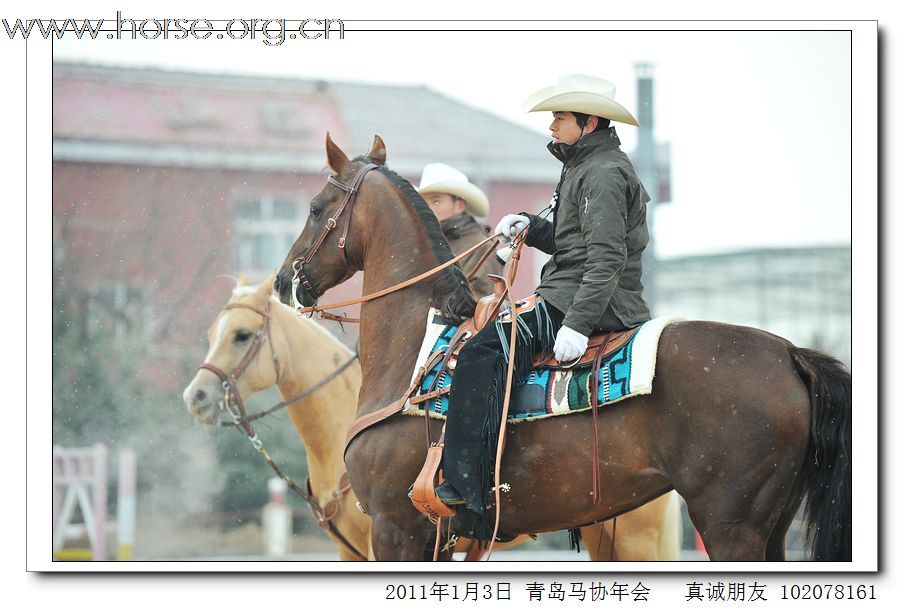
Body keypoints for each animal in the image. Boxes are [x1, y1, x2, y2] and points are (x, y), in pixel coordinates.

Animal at [272, 136, 852, 560]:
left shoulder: (397, 530)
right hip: (766, 526)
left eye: (315, 206)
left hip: (729, 525)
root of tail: (790, 353)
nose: (283, 281)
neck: (416, 348)